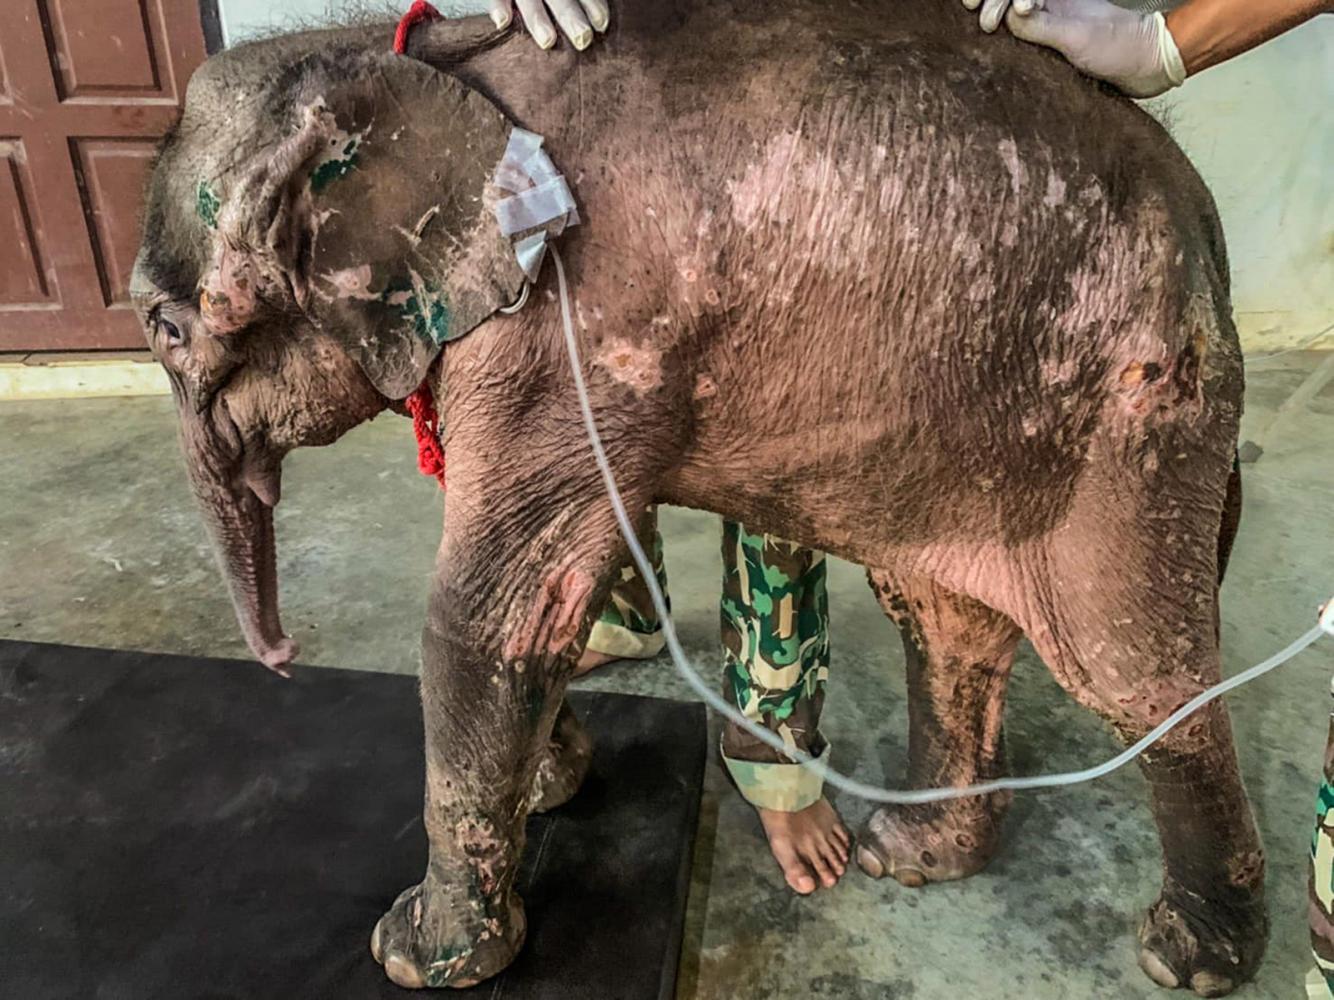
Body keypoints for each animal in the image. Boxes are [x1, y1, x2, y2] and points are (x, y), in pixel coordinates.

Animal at [132, 0, 1259, 997]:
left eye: (163, 329)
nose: (282, 659)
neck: (399, 55)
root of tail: (1208, 225)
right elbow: (551, 602)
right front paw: (553, 785)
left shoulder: (558, 338)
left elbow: (487, 616)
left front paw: (418, 953)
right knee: (943, 619)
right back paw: (913, 850)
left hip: (1137, 418)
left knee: (1133, 673)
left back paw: (1191, 956)